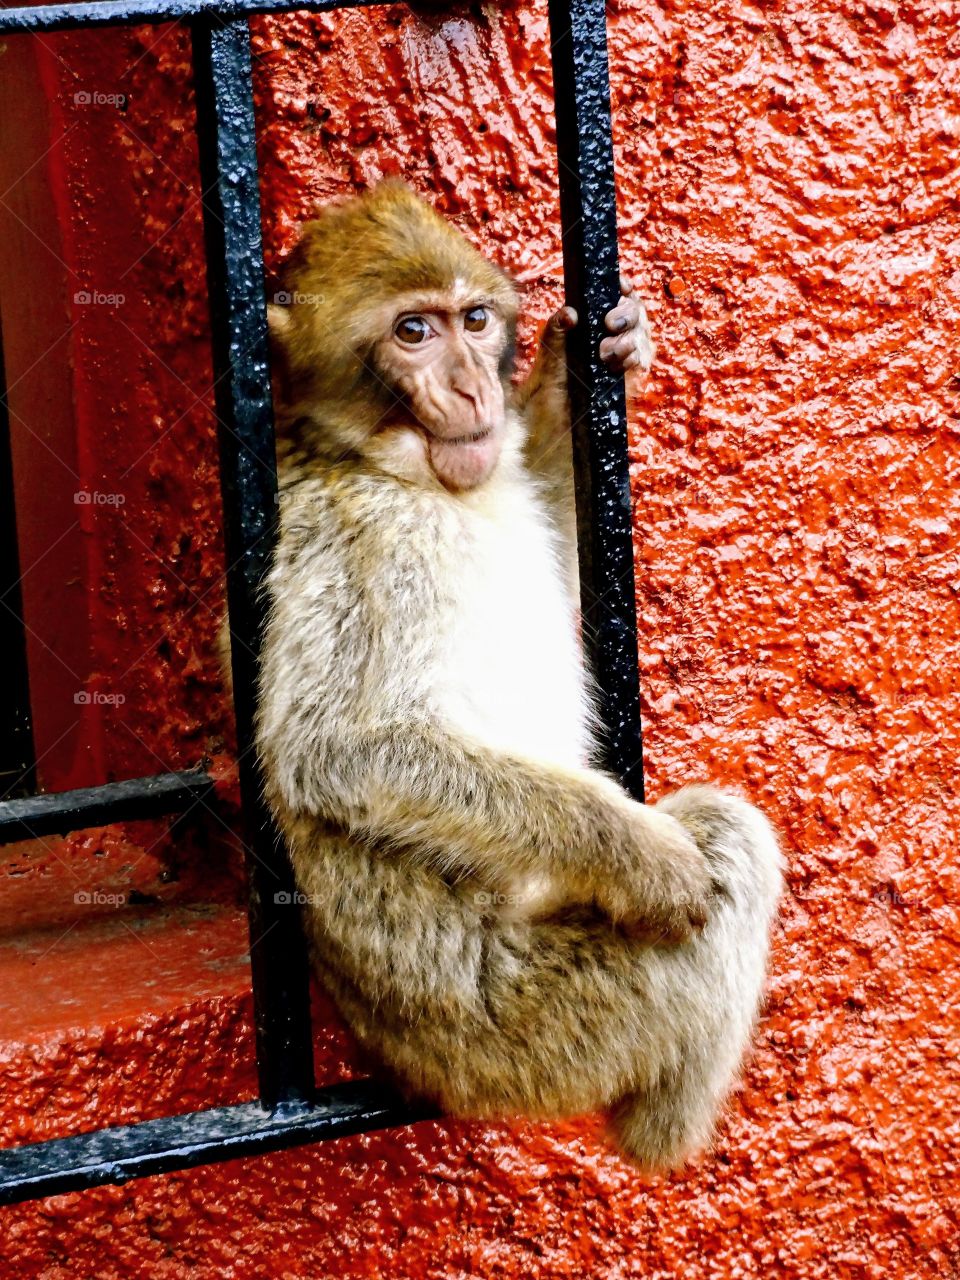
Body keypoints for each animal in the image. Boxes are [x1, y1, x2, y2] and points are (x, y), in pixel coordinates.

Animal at [253, 180, 783, 1168]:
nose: (471, 385)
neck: (392, 468)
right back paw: (659, 1137)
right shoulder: (367, 538)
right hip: (518, 1024)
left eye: (472, 320)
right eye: (412, 333)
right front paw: (644, 857)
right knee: (729, 840)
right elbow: (338, 751)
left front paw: (577, 378)